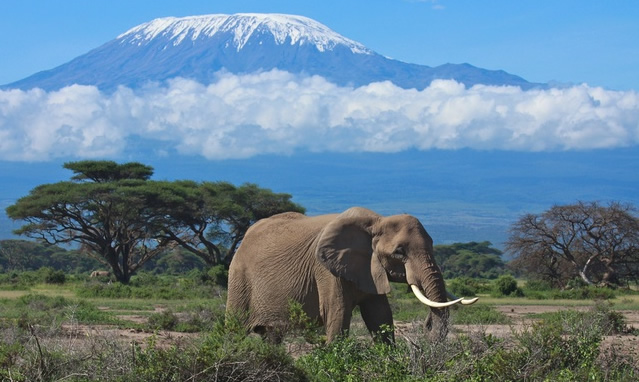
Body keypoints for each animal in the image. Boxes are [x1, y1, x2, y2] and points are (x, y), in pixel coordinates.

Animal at [225, 207, 476, 344]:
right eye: (399, 252)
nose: (426, 325)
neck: (377, 221)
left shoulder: (369, 269)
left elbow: (380, 317)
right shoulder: (325, 270)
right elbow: (337, 315)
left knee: (272, 336)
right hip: (238, 278)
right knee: (234, 330)